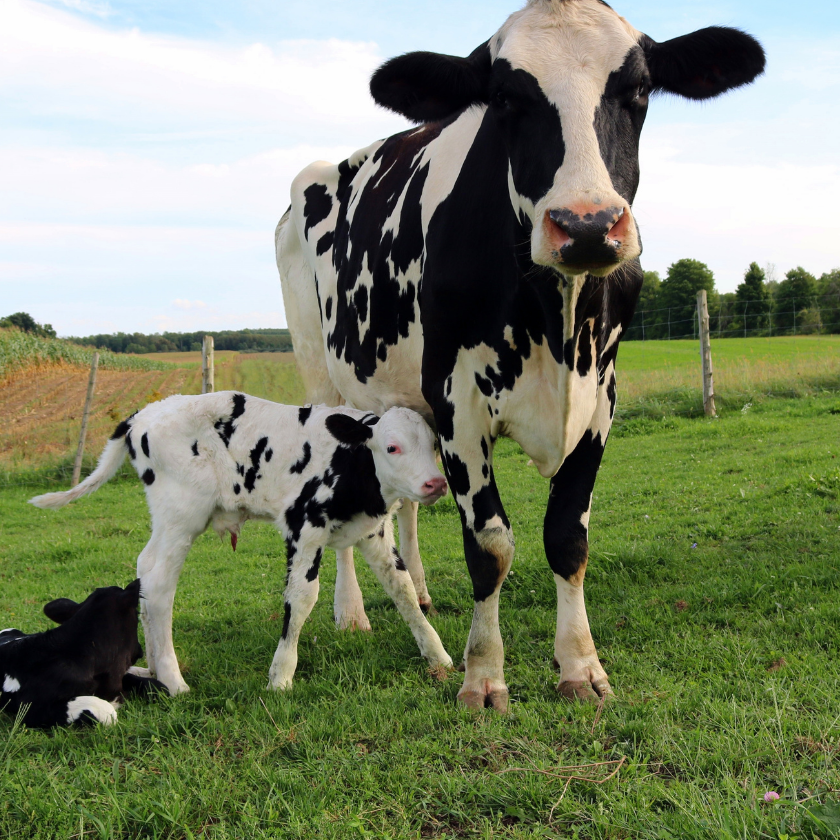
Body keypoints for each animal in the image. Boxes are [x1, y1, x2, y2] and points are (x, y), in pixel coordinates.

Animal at [30, 393, 452, 695]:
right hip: (181, 514)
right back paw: (173, 680)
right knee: (158, 581)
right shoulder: (304, 527)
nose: (435, 483)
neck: (351, 464)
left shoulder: (373, 531)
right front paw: (281, 676)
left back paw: (152, 668)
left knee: (145, 570)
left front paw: (438, 655)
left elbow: (403, 589)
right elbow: (302, 598)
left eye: (433, 443)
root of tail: (142, 415)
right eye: (392, 447)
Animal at [275, 0, 765, 710]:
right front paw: (483, 675)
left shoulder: (600, 396)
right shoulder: (459, 402)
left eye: (639, 91)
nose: (587, 225)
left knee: (406, 504)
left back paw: (419, 590)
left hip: (402, 399)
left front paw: (580, 667)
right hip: (322, 372)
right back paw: (352, 611)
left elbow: (567, 536)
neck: (553, 321)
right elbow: (490, 545)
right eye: (506, 98)